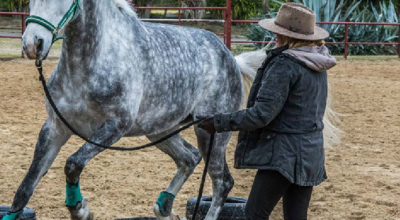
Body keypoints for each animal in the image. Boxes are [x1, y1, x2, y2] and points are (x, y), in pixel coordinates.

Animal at [7, 0, 340, 219]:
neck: (92, 61)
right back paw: (163, 206)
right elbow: (25, 188)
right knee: (189, 158)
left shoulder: (114, 127)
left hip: (210, 133)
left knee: (222, 182)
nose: (33, 44)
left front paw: (80, 208)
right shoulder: (55, 127)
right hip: (162, 130)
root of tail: (229, 57)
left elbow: (73, 163)